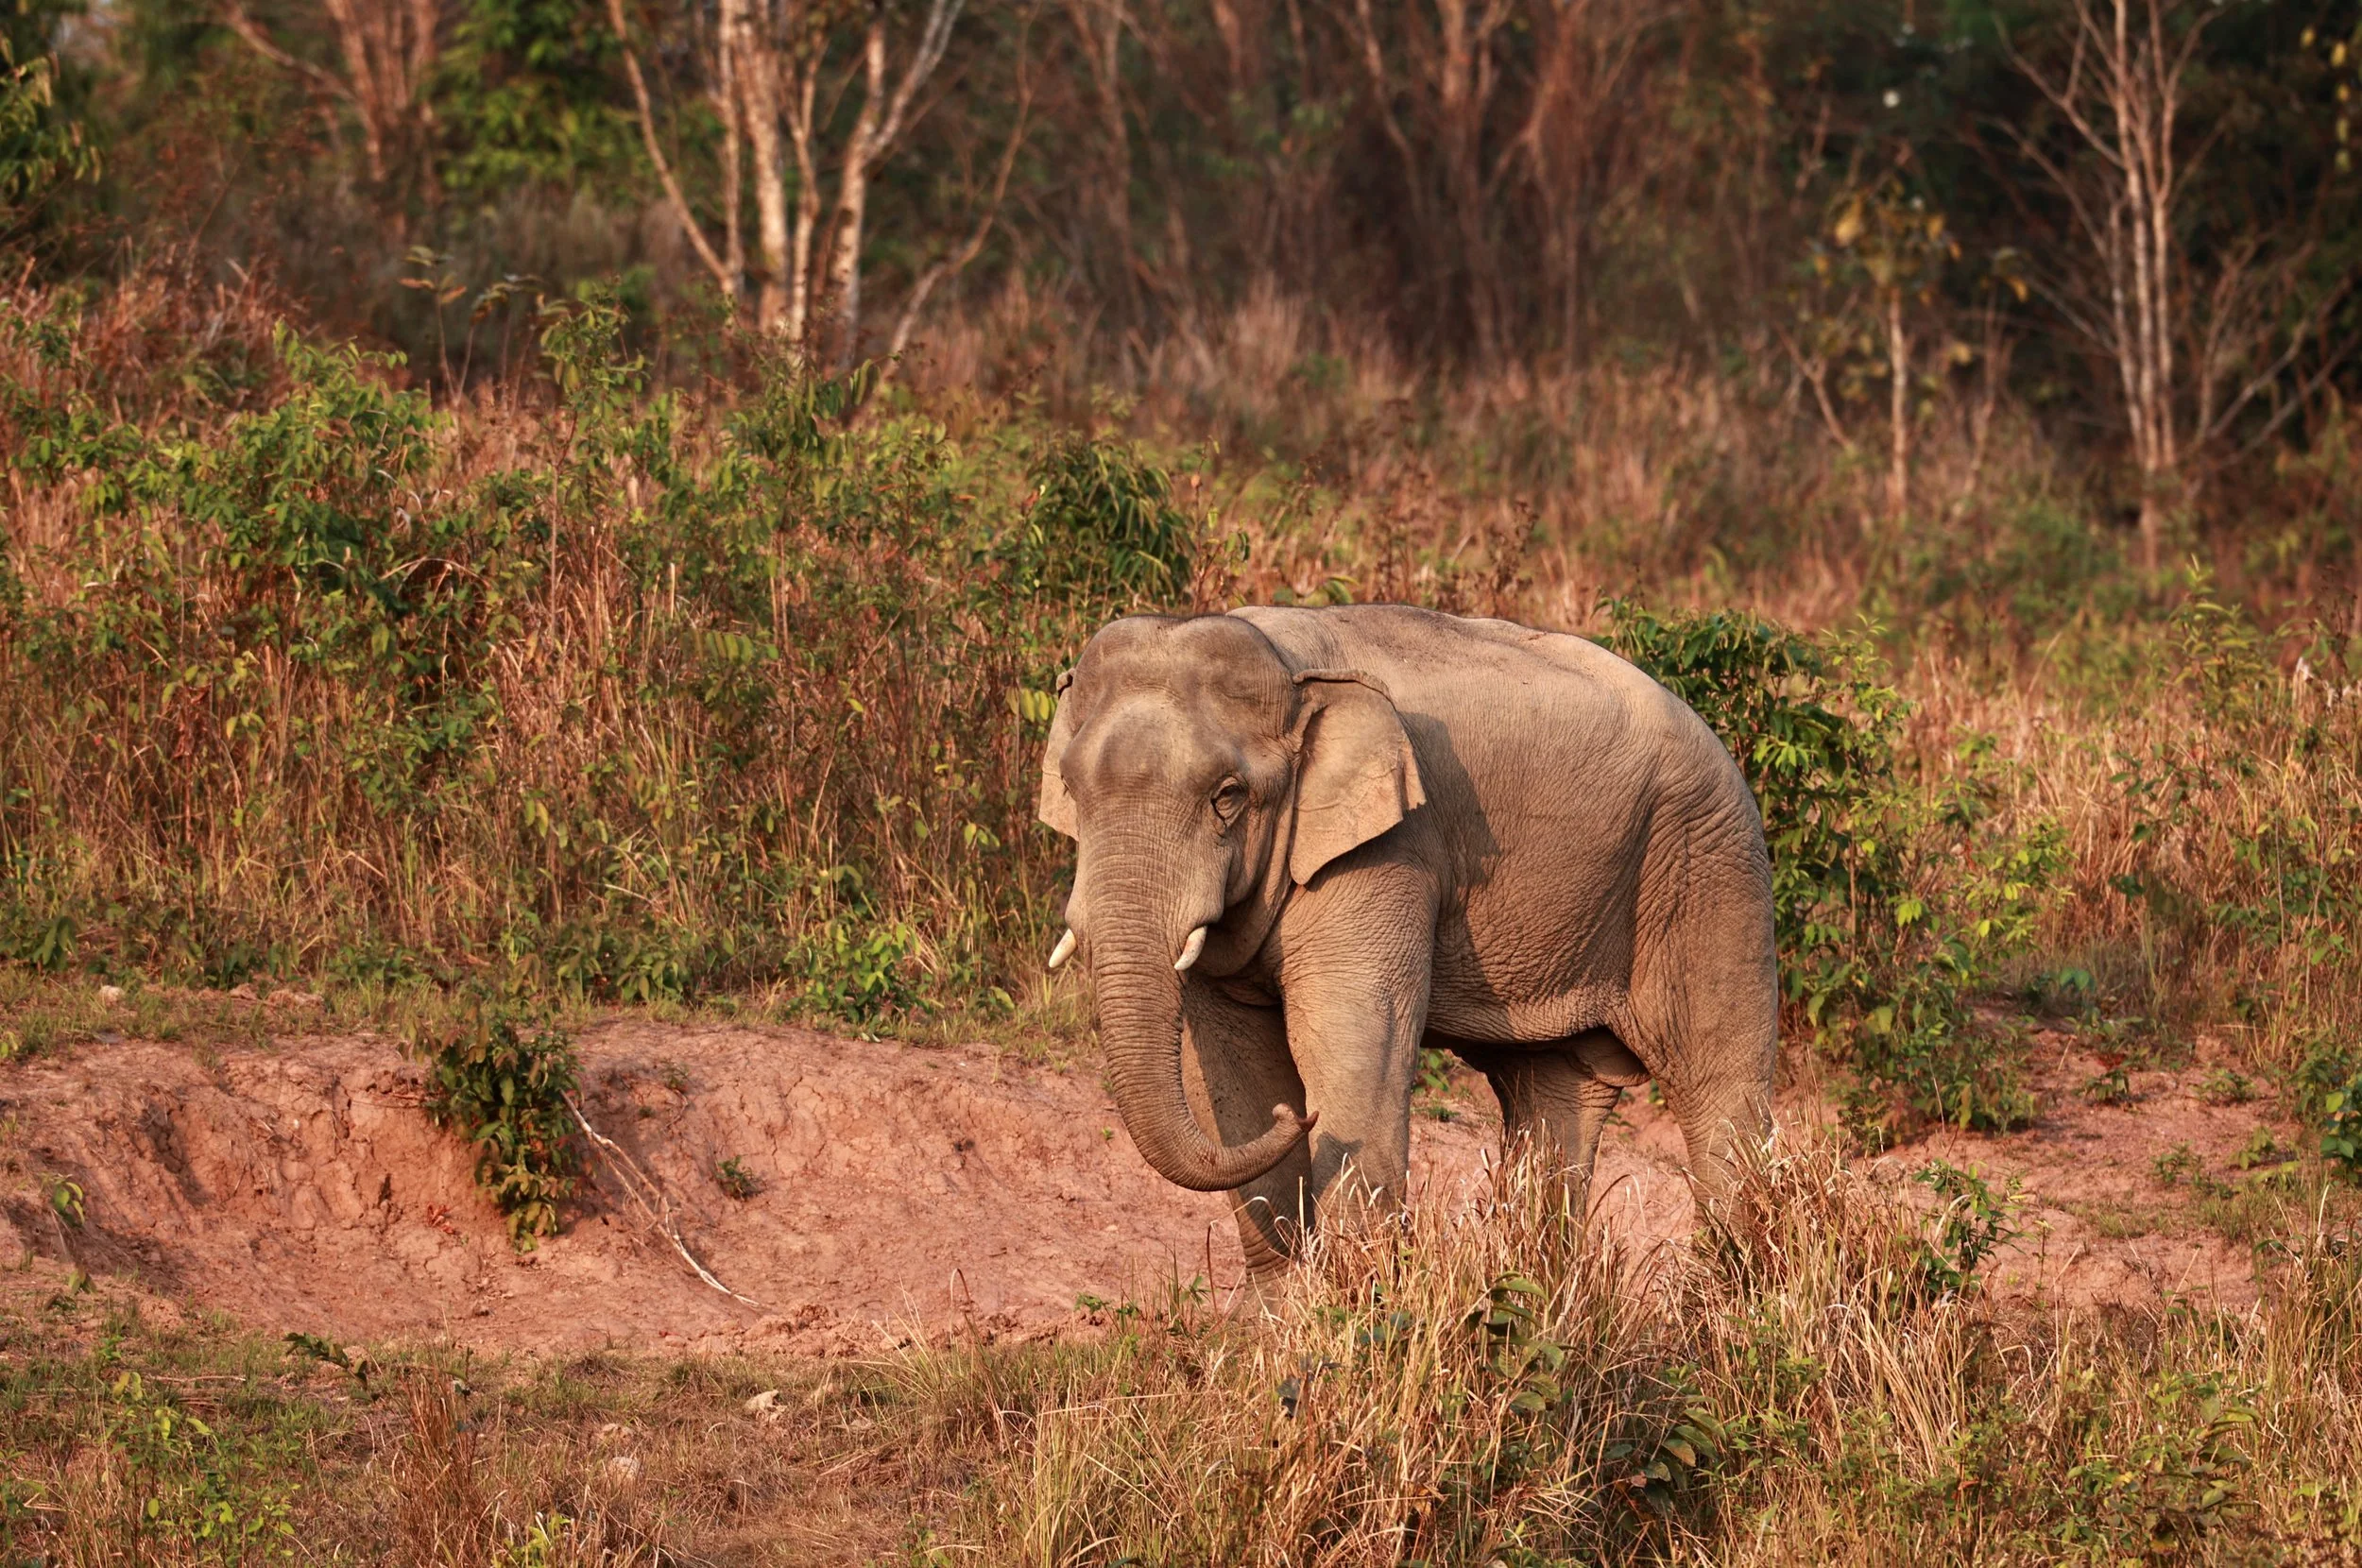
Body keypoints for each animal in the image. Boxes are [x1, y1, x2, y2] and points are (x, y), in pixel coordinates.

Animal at [1036, 603, 1778, 1273]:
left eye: (1228, 796)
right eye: (1071, 787)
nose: (1296, 1117)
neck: (1289, 665)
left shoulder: (1390, 850)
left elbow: (1350, 1040)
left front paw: (1352, 1317)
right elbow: (1228, 1062)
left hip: (1711, 873)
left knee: (1719, 1090)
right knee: (1553, 1096)